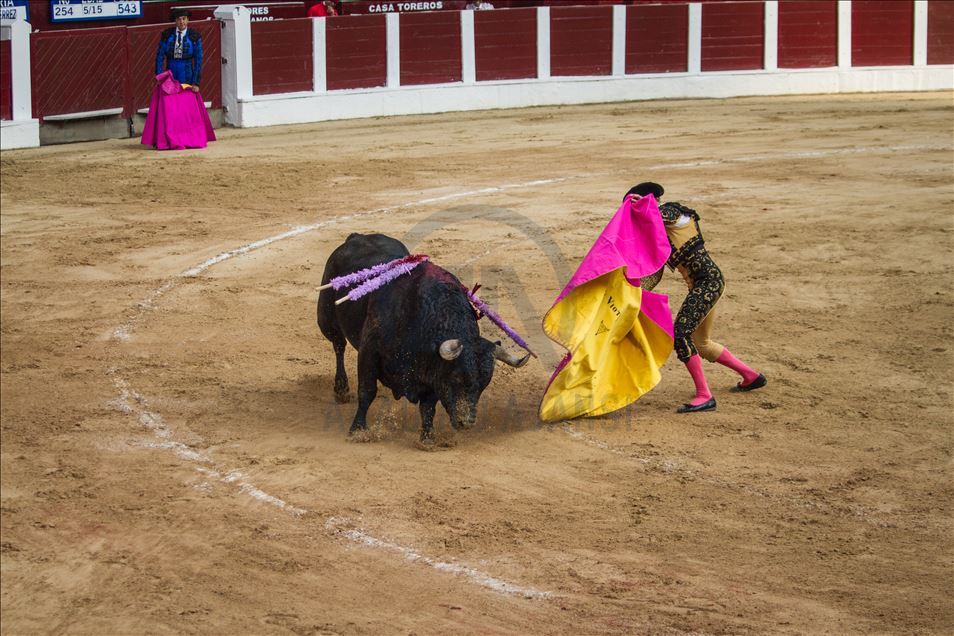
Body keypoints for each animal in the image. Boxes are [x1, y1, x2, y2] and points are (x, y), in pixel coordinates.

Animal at [318, 232, 528, 442]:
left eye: (484, 383)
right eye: (457, 377)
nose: (465, 423)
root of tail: (356, 237)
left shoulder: (432, 372)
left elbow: (428, 407)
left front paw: (427, 437)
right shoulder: (369, 351)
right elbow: (367, 391)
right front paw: (358, 430)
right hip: (327, 321)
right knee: (339, 346)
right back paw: (341, 390)